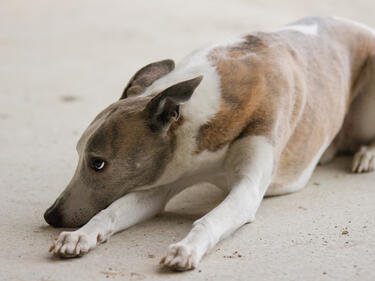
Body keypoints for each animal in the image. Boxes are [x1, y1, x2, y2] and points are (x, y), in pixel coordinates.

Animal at [44, 17, 375, 270]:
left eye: (98, 163)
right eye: (79, 154)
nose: (51, 216)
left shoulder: (246, 189)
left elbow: (210, 219)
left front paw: (186, 248)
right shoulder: (160, 182)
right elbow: (112, 211)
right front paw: (81, 236)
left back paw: (366, 156)